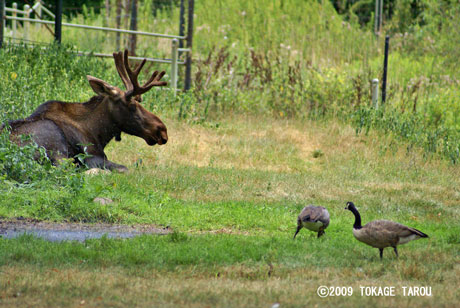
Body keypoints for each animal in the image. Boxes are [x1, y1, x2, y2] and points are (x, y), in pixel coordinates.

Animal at [2, 49, 168, 172]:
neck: (99, 133)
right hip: (54, 140)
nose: (162, 130)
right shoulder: (91, 156)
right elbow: (125, 169)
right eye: (132, 105)